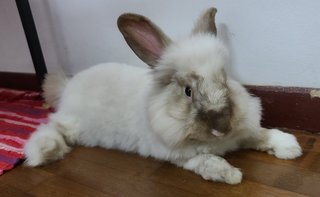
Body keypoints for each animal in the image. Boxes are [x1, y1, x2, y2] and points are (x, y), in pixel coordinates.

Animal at [23, 6, 302, 185]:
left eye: (224, 78)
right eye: (188, 91)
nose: (221, 127)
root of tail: (68, 84)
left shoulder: (243, 132)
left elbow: (260, 134)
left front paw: (290, 147)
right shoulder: (178, 154)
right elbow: (207, 162)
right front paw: (231, 175)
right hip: (73, 123)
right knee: (50, 126)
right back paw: (44, 150)